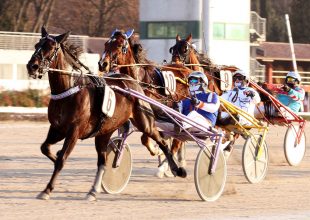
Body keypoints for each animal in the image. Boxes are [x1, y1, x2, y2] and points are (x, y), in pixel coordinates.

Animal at [98, 28, 194, 160]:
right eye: (106, 44)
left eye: (119, 45)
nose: (103, 64)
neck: (140, 80)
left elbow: (145, 138)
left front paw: (157, 150)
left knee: (179, 137)